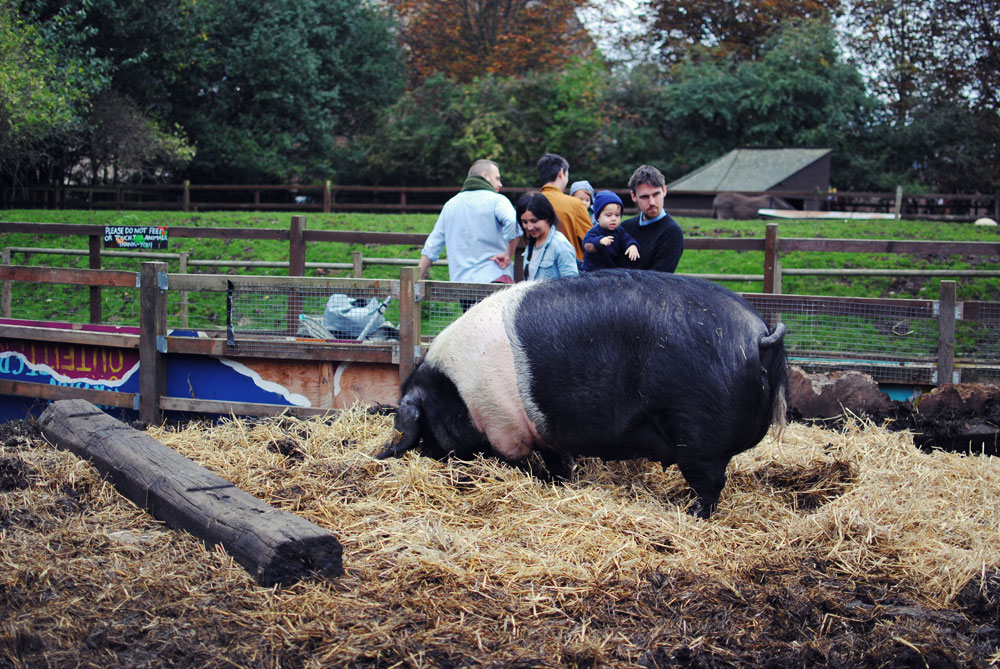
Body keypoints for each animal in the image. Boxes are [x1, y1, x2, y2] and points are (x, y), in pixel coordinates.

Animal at [376, 268, 788, 516]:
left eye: (427, 428)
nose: (426, 457)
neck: (457, 391)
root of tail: (759, 333)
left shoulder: (505, 428)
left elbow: (522, 463)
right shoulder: (544, 431)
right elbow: (560, 462)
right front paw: (560, 483)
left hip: (698, 436)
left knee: (711, 485)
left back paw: (689, 513)